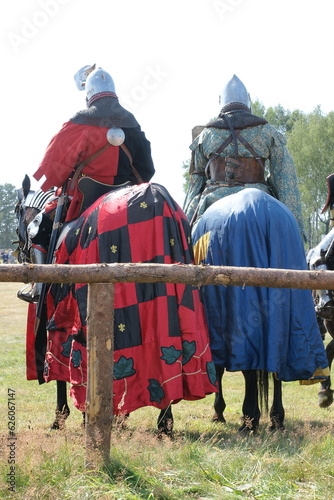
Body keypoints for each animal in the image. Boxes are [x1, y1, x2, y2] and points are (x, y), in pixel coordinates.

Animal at [14, 175, 217, 434]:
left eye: (17, 210)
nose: (21, 252)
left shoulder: (56, 318)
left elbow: (59, 367)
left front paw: (64, 418)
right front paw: (119, 418)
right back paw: (165, 421)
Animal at [190, 189, 328, 432]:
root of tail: (263, 210)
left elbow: (220, 368)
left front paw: (220, 412)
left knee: (249, 368)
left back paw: (249, 419)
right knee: (277, 366)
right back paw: (275, 418)